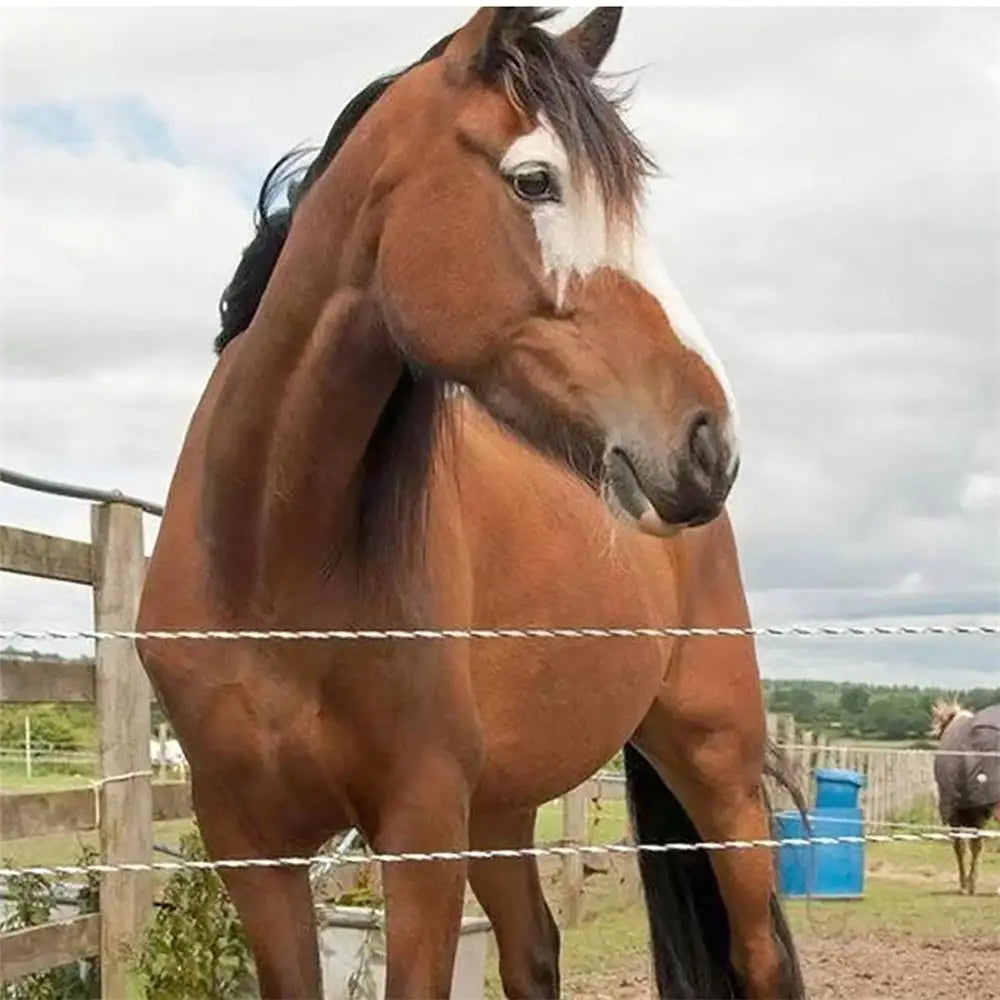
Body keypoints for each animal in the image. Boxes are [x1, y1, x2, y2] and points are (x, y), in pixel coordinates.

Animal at [136, 9, 805, 998]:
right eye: (534, 181)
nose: (707, 442)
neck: (266, 565)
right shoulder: (250, 847)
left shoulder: (421, 835)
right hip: (500, 810)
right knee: (534, 950)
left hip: (716, 769)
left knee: (755, 955)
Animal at [931, 698, 1000, 895]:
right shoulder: (977, 814)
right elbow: (975, 846)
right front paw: (971, 883)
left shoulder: (956, 811)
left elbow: (960, 846)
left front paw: (965, 884)